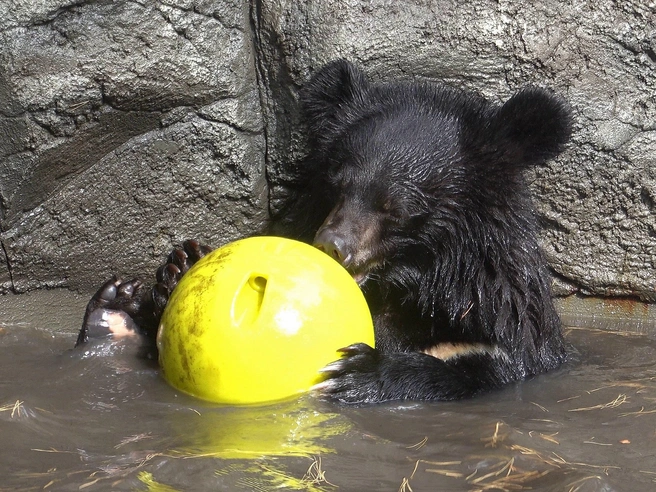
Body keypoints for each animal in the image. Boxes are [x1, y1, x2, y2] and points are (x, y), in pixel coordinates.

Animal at [77, 59, 572, 404]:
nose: (333, 246)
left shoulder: (497, 316)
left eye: (397, 208)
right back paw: (113, 310)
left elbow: (489, 366)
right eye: (337, 184)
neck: (410, 283)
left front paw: (359, 372)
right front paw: (179, 266)